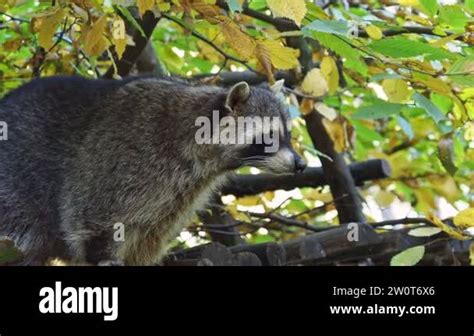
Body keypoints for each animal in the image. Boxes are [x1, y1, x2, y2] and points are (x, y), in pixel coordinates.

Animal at [0, 77, 306, 266]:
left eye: (288, 135)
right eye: (269, 137)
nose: (301, 164)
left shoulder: (179, 194)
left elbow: (148, 236)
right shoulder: (120, 161)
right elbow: (95, 218)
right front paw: (104, 254)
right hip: (14, 191)